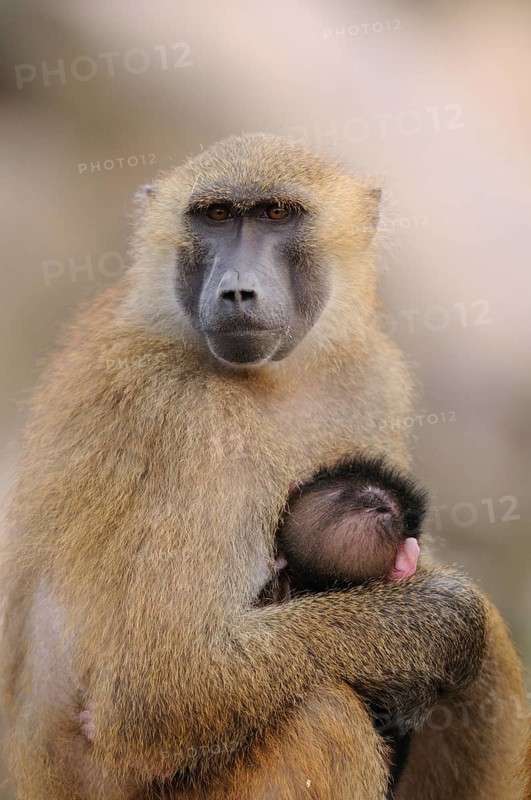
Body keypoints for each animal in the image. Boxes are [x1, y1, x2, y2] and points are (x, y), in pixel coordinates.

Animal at [0, 133, 527, 800]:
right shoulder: (180, 414)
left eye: (277, 214)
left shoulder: (370, 377)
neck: (271, 379)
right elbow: (157, 688)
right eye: (216, 215)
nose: (237, 292)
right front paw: (434, 621)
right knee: (323, 713)